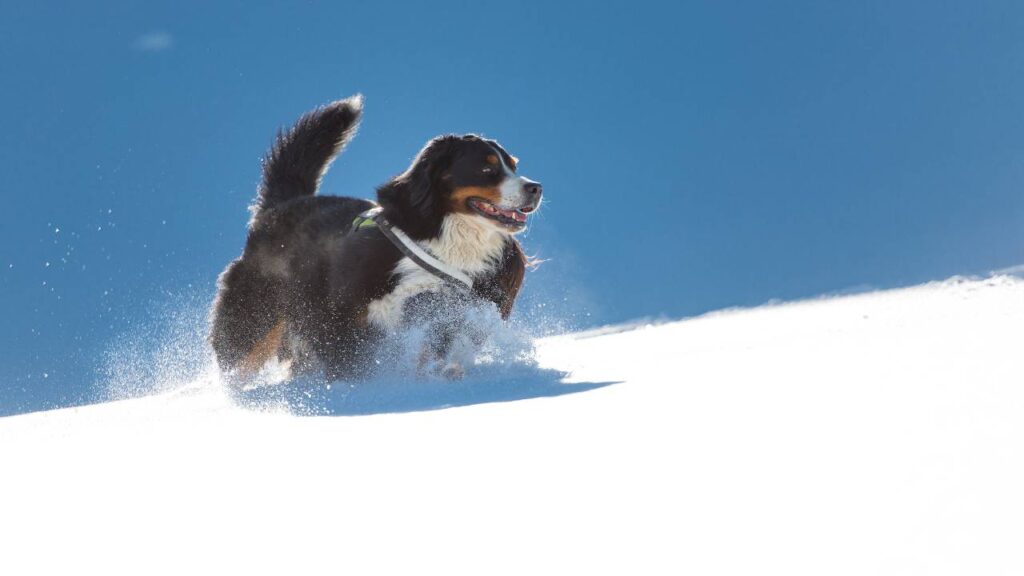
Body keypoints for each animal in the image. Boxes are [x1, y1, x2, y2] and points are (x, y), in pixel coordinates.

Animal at [208, 94, 544, 381]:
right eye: (487, 168)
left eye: (514, 165)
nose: (535, 187)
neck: (447, 239)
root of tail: (281, 206)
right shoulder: (340, 318)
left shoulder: (455, 310)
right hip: (252, 321)